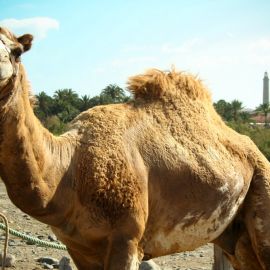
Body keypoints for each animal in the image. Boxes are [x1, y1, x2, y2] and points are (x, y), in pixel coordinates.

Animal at [0, 25, 270, 270]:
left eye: (17, 51)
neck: (69, 171)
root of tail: (257, 151)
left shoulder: (127, 239)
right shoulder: (78, 248)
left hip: (262, 194)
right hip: (234, 237)